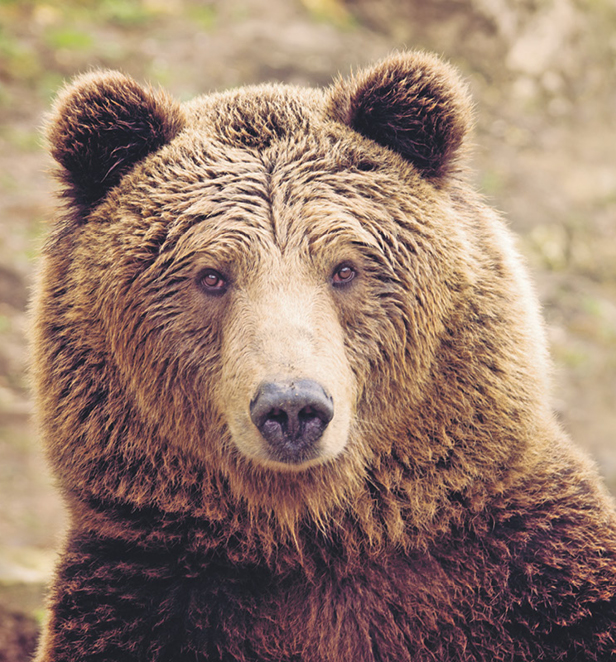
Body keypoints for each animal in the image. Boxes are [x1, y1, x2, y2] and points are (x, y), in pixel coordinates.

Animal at [32, 51, 616, 661]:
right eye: (211, 276)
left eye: (345, 268)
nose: (292, 407)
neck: (319, 534)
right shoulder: (145, 598)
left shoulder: (536, 578)